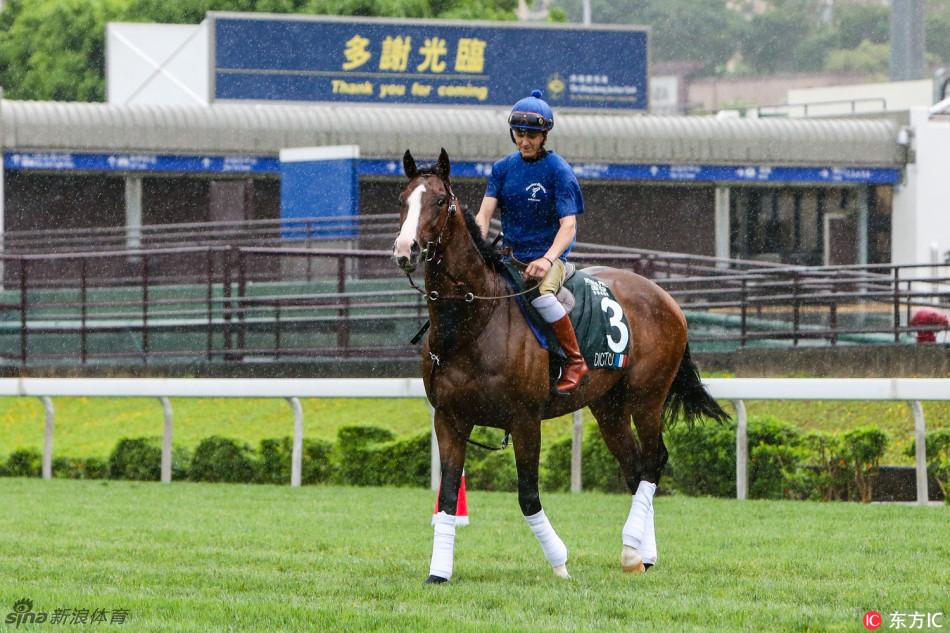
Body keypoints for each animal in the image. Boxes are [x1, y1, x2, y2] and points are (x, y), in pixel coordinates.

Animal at [394, 148, 728, 584]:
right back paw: (643, 555)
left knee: (654, 462)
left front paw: (560, 561)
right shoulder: (450, 418)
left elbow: (527, 495)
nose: (406, 249)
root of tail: (665, 297)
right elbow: (448, 494)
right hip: (609, 407)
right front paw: (439, 571)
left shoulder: (525, 420)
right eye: (404, 200)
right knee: (636, 467)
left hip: (647, 397)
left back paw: (630, 550)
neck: (474, 323)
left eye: (437, 201)